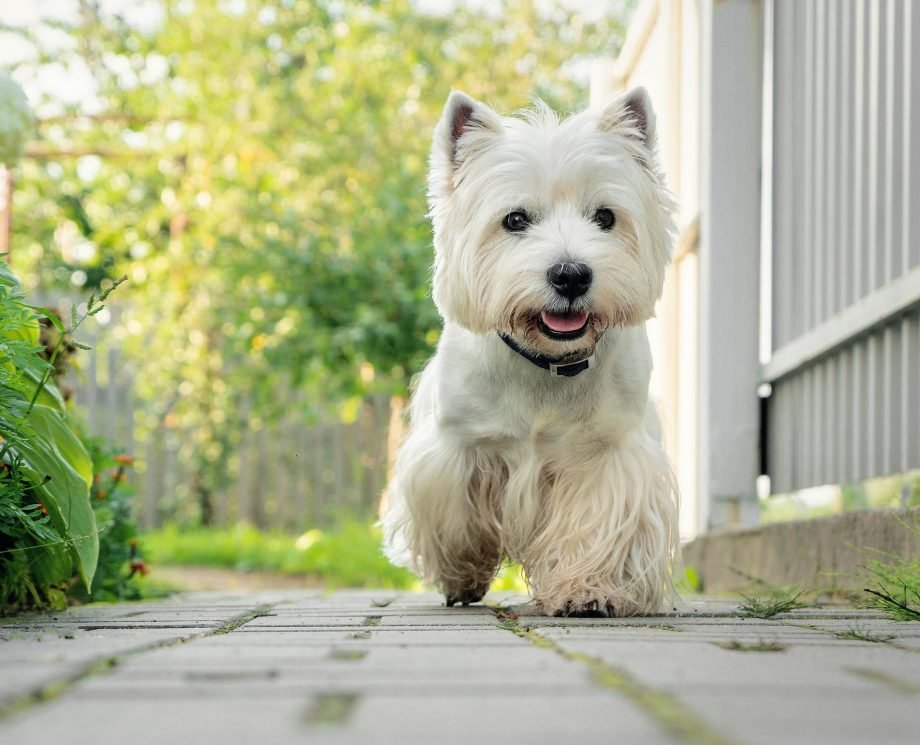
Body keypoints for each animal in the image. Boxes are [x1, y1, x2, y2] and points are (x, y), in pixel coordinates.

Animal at [380, 87, 676, 616]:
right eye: (515, 219)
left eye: (605, 217)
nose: (571, 275)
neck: (547, 362)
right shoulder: (458, 449)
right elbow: (457, 519)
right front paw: (462, 574)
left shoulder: (607, 451)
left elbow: (596, 523)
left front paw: (589, 590)